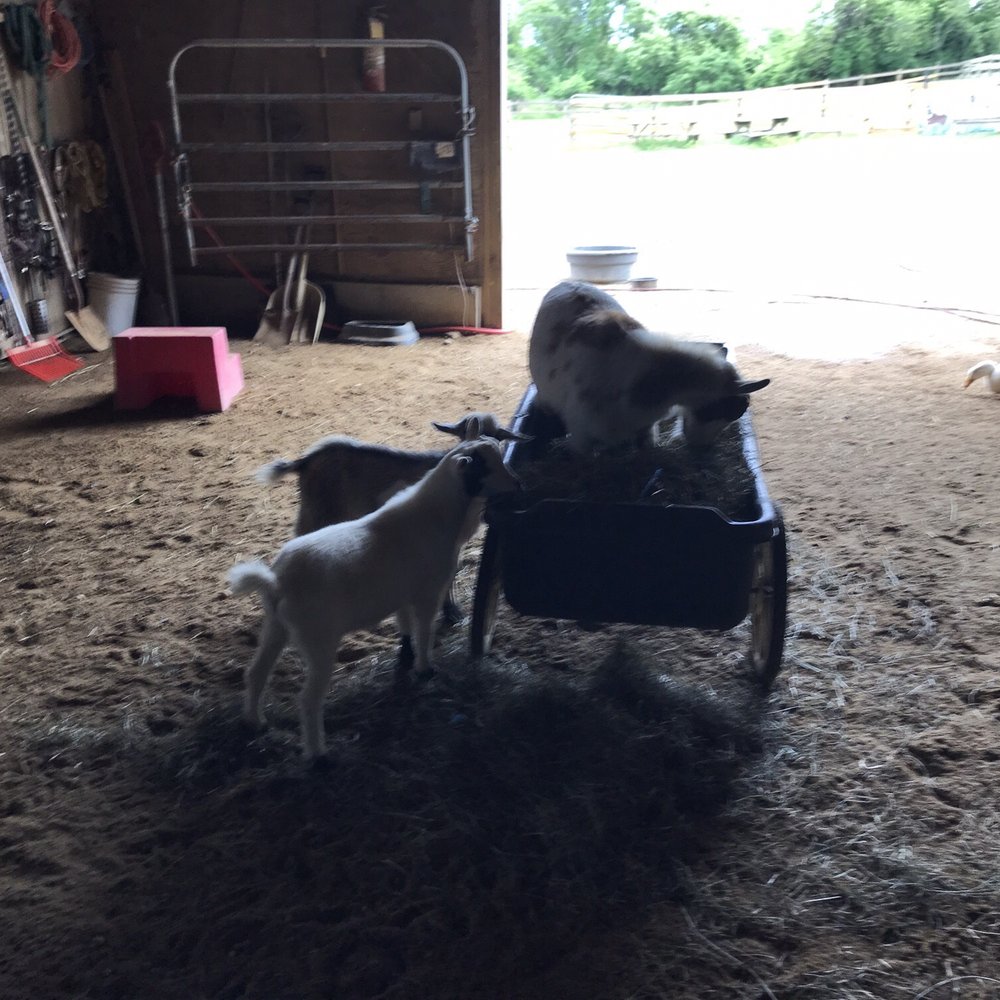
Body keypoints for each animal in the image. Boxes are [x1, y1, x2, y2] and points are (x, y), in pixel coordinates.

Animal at [229, 438, 522, 760]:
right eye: (486, 466)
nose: (517, 484)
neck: (435, 513)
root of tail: (277, 582)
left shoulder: (403, 593)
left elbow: (405, 625)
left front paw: (406, 658)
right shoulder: (428, 592)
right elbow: (425, 631)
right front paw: (425, 669)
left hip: (276, 626)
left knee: (256, 673)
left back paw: (255, 722)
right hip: (317, 638)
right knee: (308, 699)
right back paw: (319, 755)